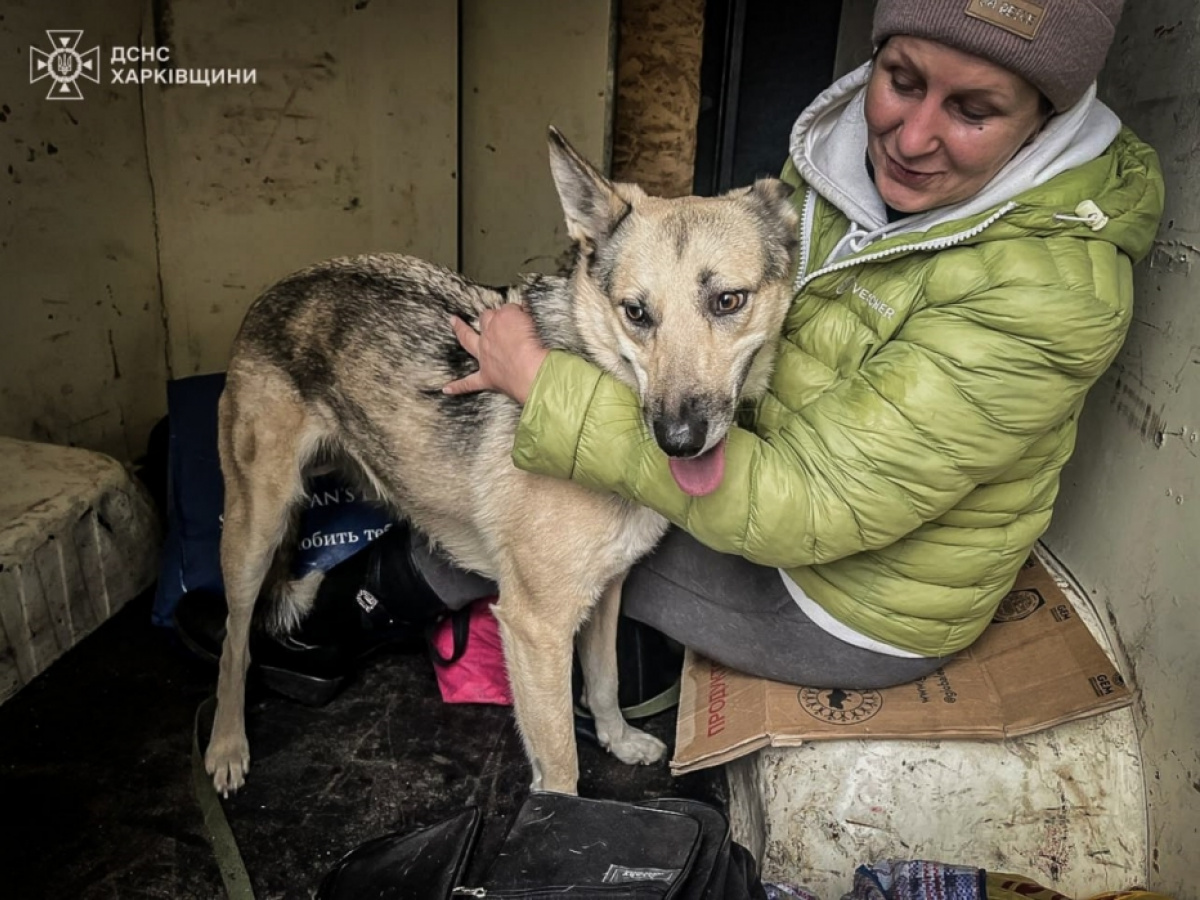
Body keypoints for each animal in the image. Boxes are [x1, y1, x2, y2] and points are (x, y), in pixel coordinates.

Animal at [208, 128, 796, 796]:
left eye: (728, 301)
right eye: (636, 312)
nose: (677, 438)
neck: (598, 390)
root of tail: (280, 287)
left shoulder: (604, 592)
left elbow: (605, 680)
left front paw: (617, 739)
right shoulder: (535, 627)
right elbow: (561, 761)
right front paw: (559, 812)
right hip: (255, 530)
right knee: (233, 640)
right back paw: (226, 745)